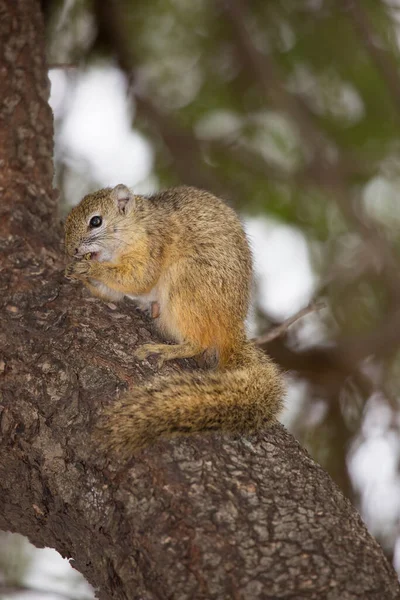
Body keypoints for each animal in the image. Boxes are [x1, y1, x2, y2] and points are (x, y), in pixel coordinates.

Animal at [65, 184, 284, 460]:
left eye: (96, 221)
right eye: (68, 217)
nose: (71, 249)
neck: (139, 222)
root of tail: (232, 328)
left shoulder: (153, 245)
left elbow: (139, 278)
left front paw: (90, 269)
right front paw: (75, 273)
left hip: (187, 284)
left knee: (198, 343)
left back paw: (165, 350)